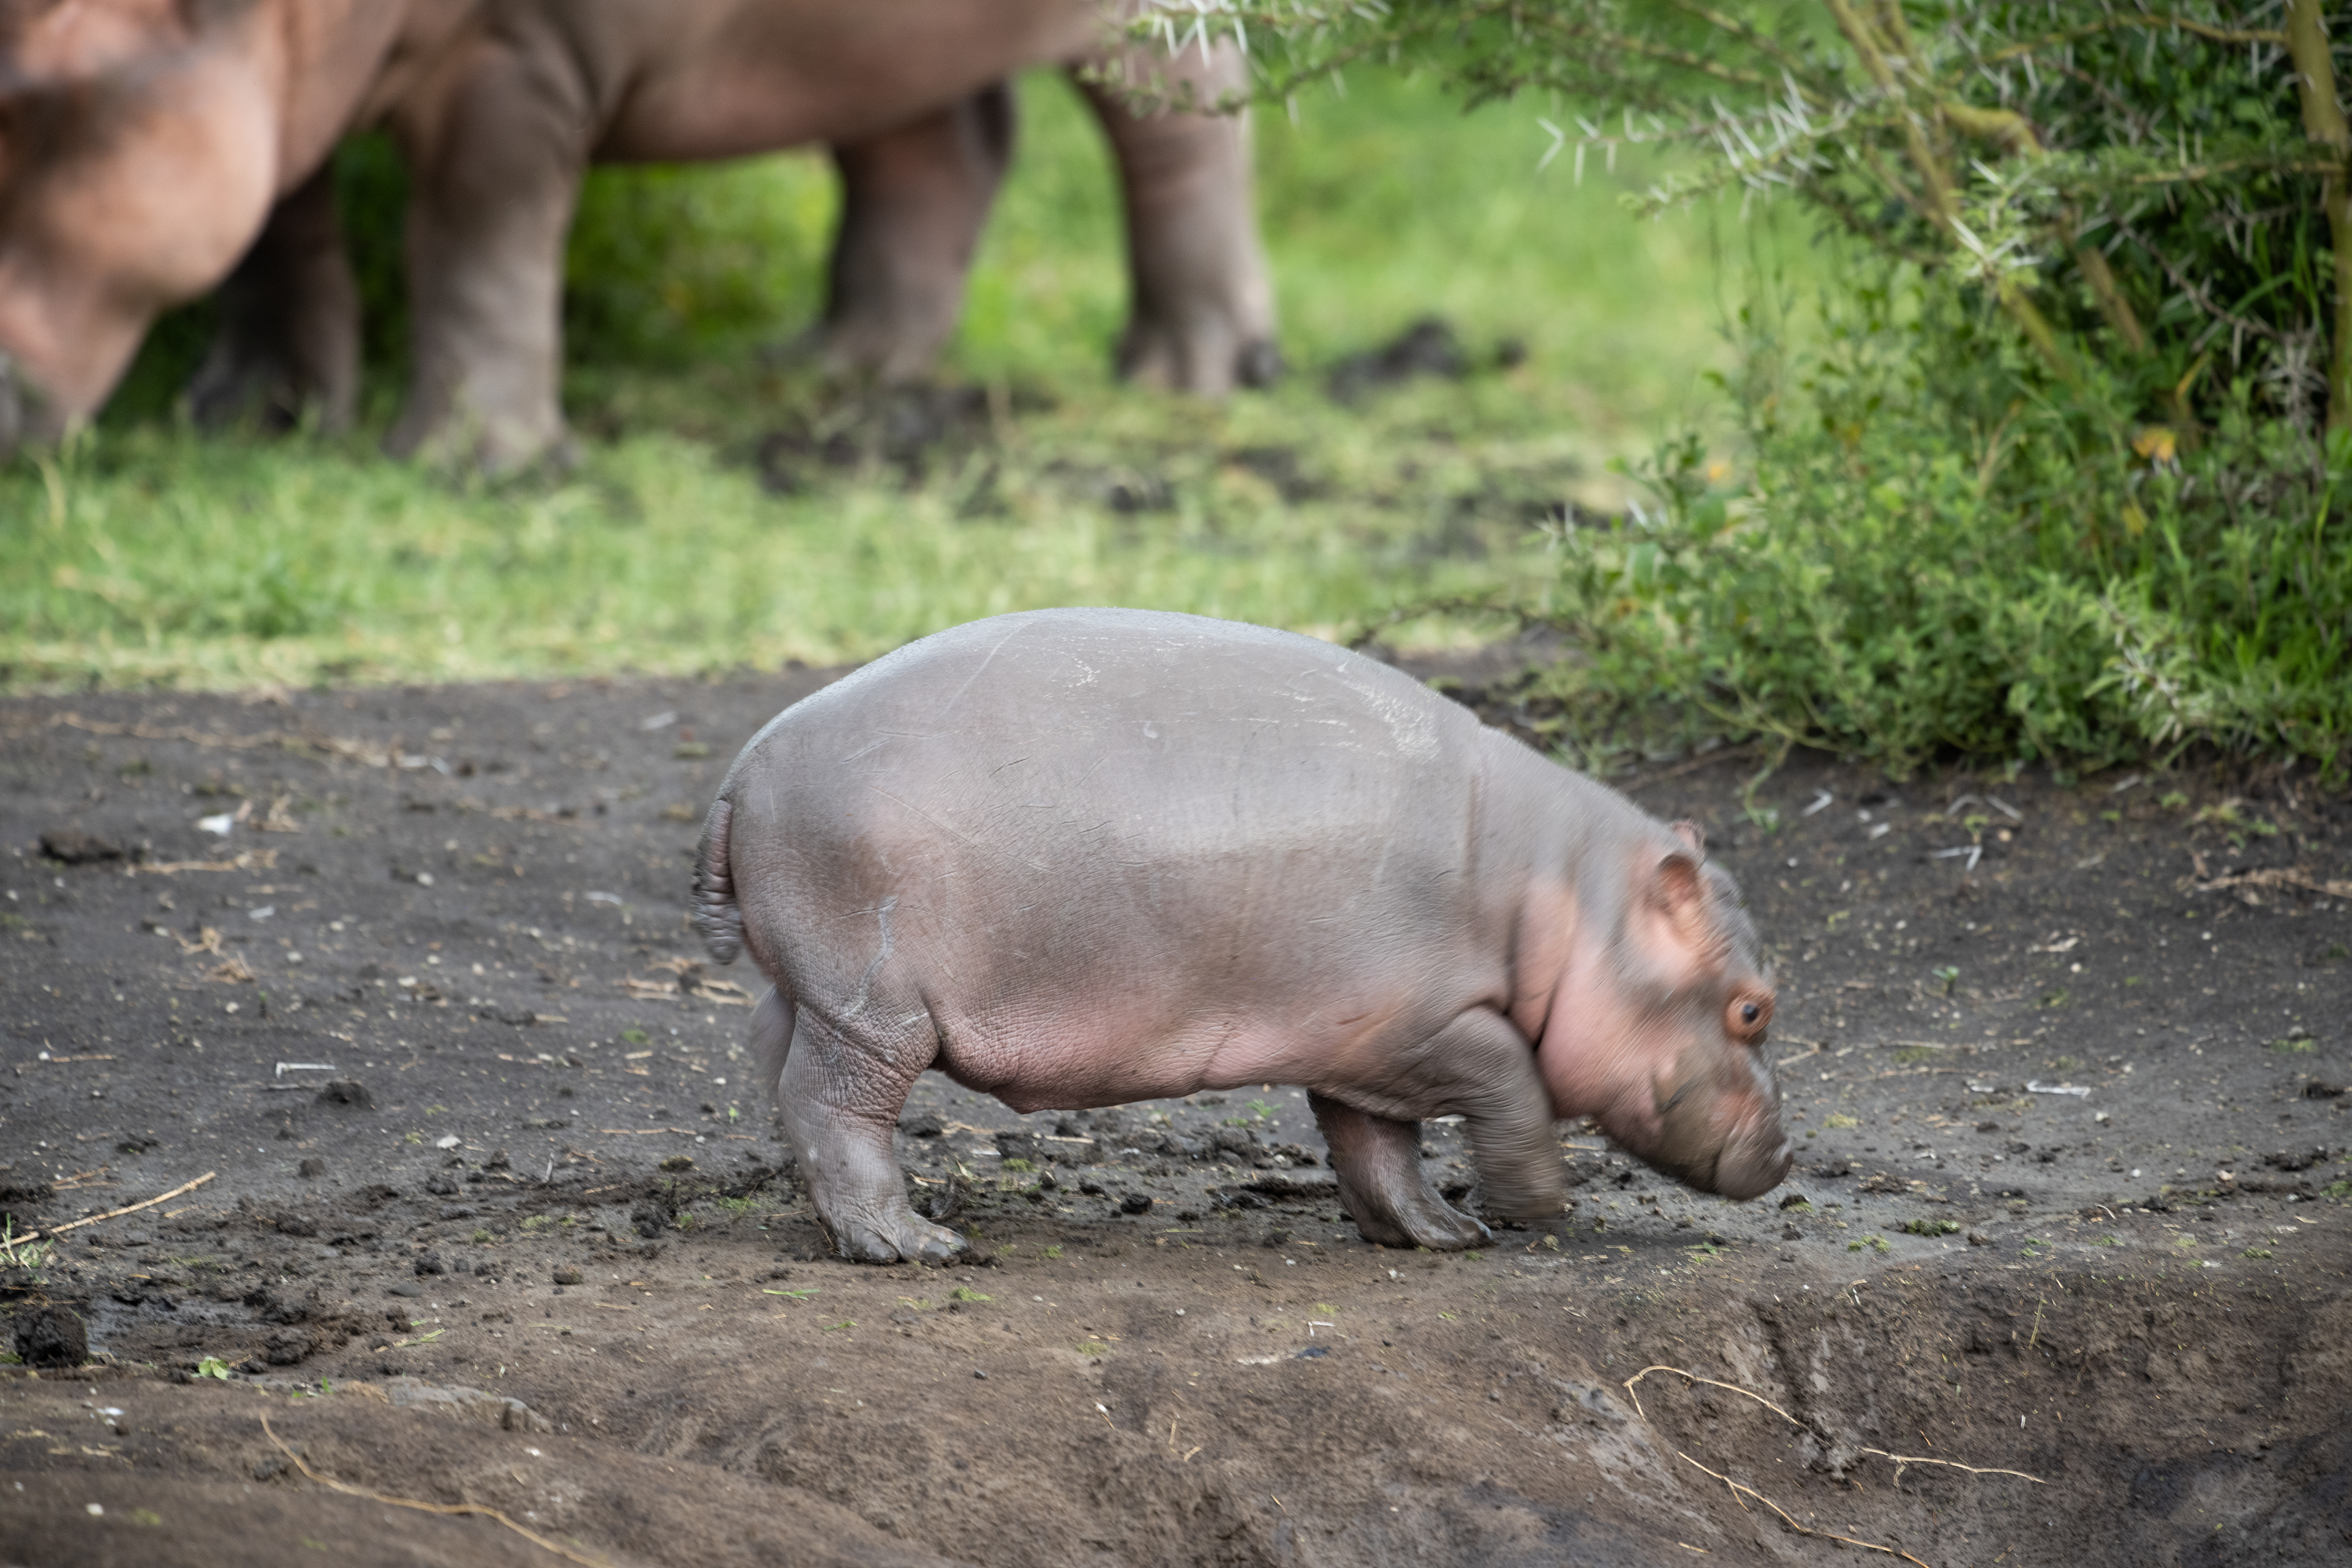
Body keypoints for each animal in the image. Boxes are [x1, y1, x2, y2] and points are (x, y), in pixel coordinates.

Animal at [0, 1, 1276, 468]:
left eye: (25, 96)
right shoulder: (274, 86)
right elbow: (278, 233)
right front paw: (249, 420)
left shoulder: (513, 53)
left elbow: (481, 235)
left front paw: (475, 466)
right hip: (867, 46)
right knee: (936, 149)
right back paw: (838, 364)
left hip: (1139, 33)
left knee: (1186, 111)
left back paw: (1194, 374)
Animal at [693, 609, 1791, 1263]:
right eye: (1753, 1008)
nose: (1785, 1154)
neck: (1565, 899)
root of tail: (745, 764)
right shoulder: (1434, 1022)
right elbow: (1512, 1083)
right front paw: (1536, 1210)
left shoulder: (1365, 1042)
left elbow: (1377, 1148)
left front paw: (1441, 1234)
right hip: (874, 1008)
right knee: (834, 1105)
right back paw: (913, 1245)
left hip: (812, 989)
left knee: (777, 1073)